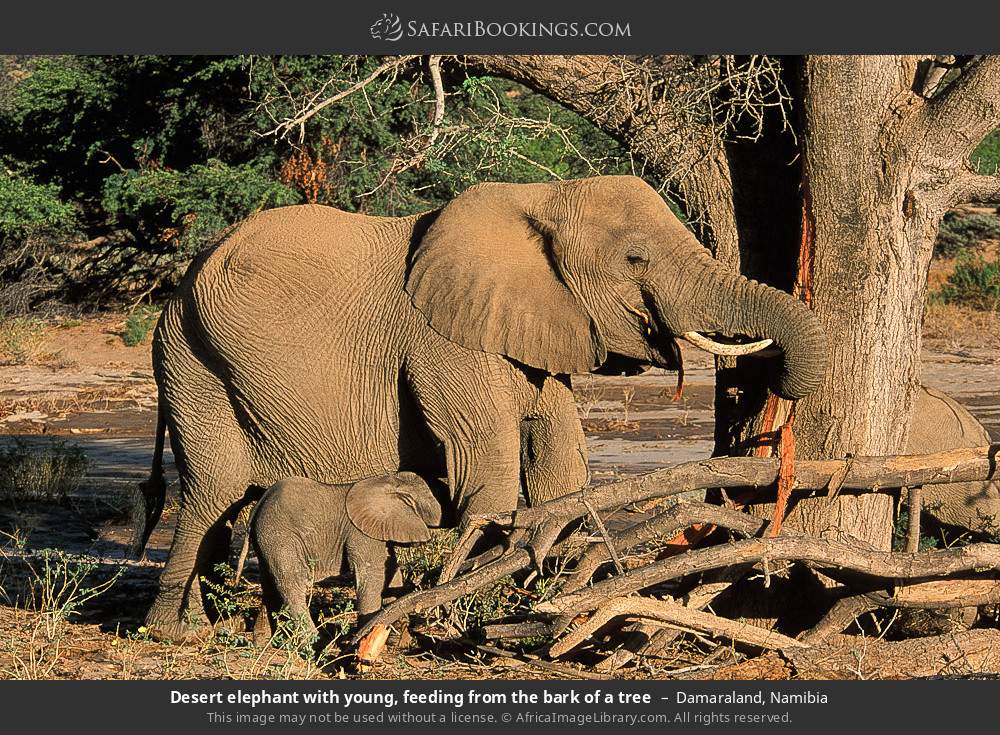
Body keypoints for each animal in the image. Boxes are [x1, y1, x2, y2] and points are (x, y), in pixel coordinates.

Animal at [250, 472, 442, 642]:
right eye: (416, 504)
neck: (385, 481)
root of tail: (257, 507)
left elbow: (392, 573)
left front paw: (396, 636)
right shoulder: (361, 532)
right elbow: (372, 577)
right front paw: (364, 638)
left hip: (267, 541)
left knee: (270, 584)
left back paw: (263, 642)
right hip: (281, 537)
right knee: (292, 584)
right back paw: (314, 642)